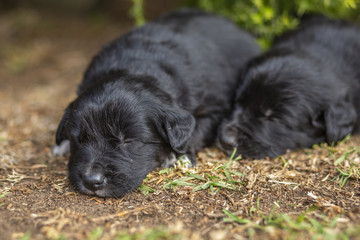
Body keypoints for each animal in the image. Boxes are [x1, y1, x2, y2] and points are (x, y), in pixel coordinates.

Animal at [53, 8, 260, 197]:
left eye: (127, 140)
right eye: (78, 139)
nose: (91, 180)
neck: (134, 67)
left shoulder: (215, 109)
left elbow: (197, 130)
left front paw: (177, 156)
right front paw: (62, 144)